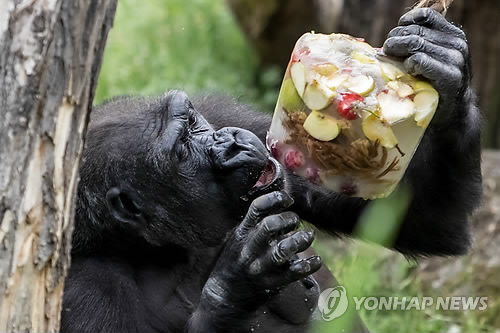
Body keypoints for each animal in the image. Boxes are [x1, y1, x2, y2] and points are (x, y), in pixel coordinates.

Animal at [60, 8, 482, 332]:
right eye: (181, 149)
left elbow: (422, 222)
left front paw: (443, 63)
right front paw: (239, 279)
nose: (230, 143)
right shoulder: (84, 290)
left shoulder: (227, 113)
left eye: (194, 122)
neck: (170, 248)